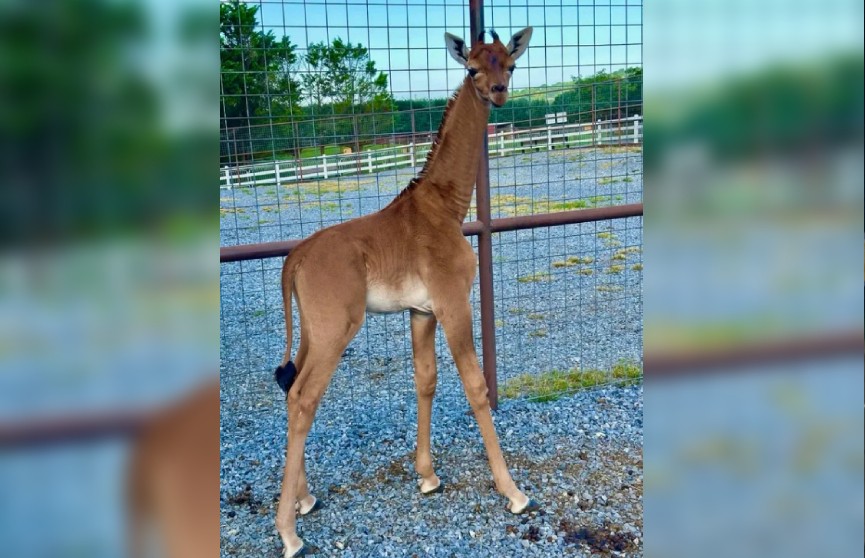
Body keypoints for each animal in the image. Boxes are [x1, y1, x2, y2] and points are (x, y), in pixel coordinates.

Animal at [276, 27, 532, 558]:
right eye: (472, 69)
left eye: (511, 64)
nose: (498, 93)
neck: (447, 207)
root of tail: (295, 258)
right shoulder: (454, 303)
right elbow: (475, 386)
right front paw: (513, 492)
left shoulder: (421, 311)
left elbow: (426, 380)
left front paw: (428, 476)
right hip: (336, 329)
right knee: (304, 398)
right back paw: (288, 532)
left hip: (312, 330)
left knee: (291, 388)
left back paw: (305, 499)